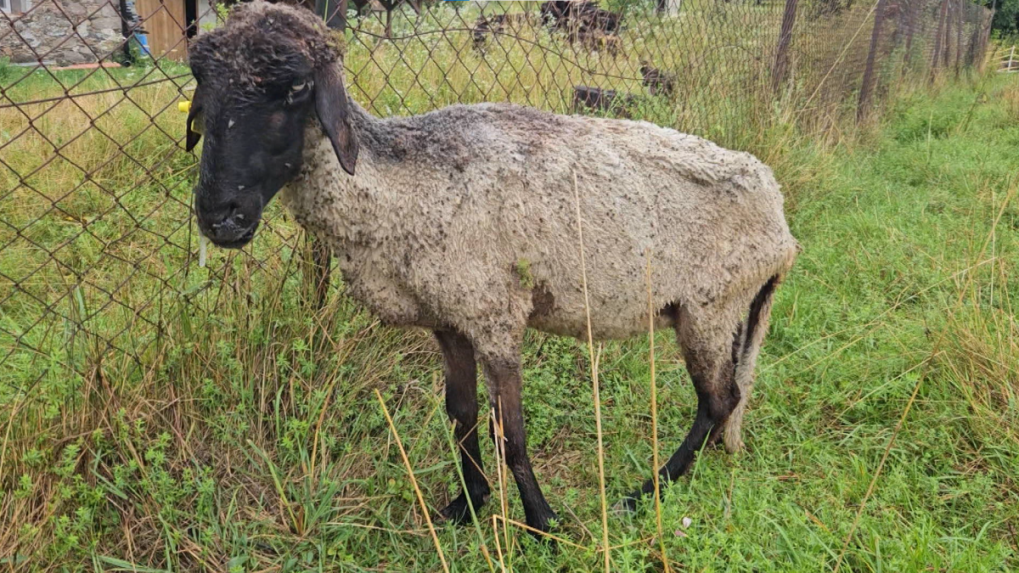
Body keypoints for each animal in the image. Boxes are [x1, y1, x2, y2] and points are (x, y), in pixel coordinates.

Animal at [187, 1, 798, 534]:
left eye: (296, 87)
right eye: (201, 83)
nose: (221, 216)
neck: (402, 183)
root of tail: (781, 223)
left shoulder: (495, 315)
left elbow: (512, 433)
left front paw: (542, 523)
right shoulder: (449, 320)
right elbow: (461, 414)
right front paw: (467, 504)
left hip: (709, 307)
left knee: (719, 399)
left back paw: (648, 489)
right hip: (727, 310)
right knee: (726, 396)